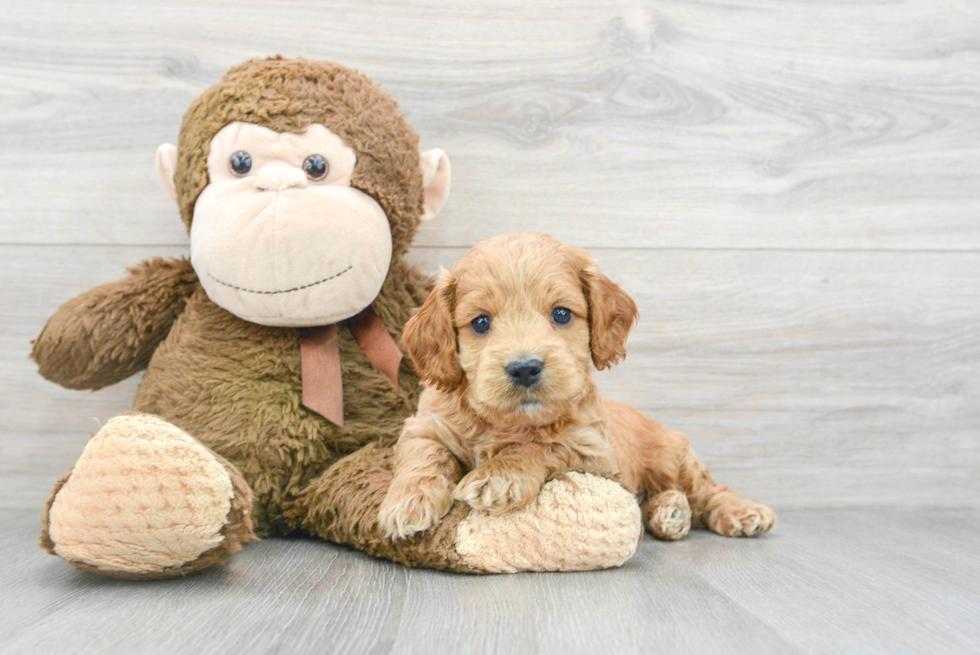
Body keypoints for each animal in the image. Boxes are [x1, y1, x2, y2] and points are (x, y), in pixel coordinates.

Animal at [378, 233, 776, 540]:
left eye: (561, 314)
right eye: (480, 322)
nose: (525, 368)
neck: (507, 423)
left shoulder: (592, 452)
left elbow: (541, 445)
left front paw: (498, 476)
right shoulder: (425, 426)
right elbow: (425, 457)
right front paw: (406, 504)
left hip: (675, 456)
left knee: (709, 490)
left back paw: (741, 511)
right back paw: (670, 511)